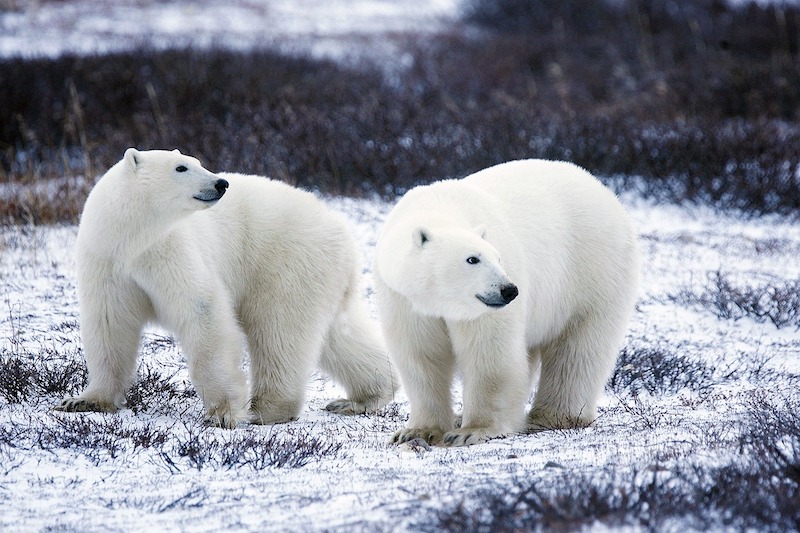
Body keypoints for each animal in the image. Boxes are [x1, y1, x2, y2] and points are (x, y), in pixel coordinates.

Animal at [57, 148, 396, 427]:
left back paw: (266, 409)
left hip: (287, 262)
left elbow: (202, 310)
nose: (221, 183)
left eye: (197, 161)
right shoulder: (107, 261)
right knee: (338, 334)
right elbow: (109, 324)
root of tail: (342, 229)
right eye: (181, 167)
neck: (132, 239)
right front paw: (84, 400)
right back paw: (362, 397)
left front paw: (222, 413)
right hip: (320, 274)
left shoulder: (169, 250)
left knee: (279, 330)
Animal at [375, 159, 639, 446]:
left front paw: (472, 431)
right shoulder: (404, 299)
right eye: (472, 259)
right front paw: (416, 431)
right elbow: (421, 355)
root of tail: (603, 190)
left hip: (592, 270)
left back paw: (552, 416)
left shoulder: (482, 309)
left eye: (497, 258)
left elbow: (490, 353)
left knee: (578, 348)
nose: (509, 290)